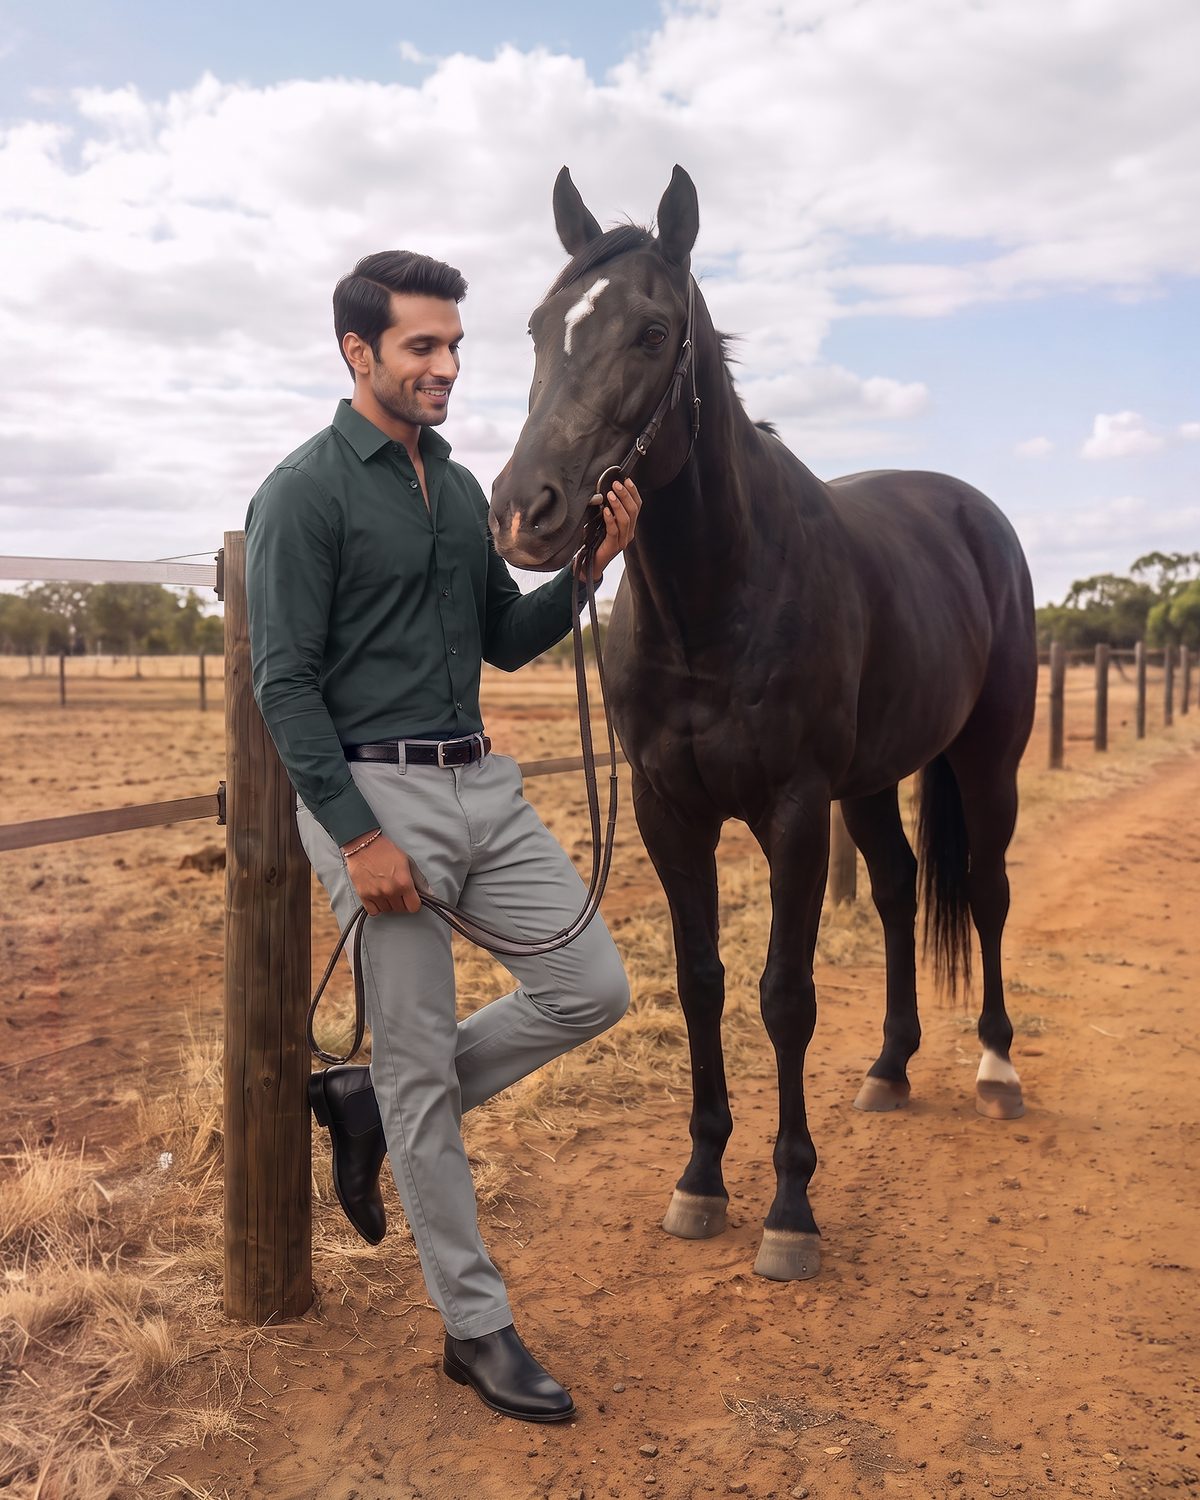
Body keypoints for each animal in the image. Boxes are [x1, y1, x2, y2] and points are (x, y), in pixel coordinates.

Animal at [489, 166, 1037, 1283]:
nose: (527, 512)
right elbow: (702, 983)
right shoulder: (669, 812)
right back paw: (890, 1067)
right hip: (872, 782)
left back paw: (996, 1068)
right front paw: (702, 1180)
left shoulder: (791, 811)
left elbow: (785, 994)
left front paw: (790, 1209)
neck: (718, 597)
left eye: (653, 332)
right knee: (900, 888)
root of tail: (975, 514)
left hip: (987, 758)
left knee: (988, 891)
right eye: (537, 327)